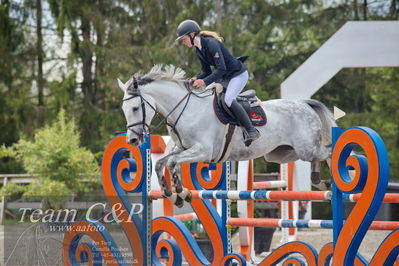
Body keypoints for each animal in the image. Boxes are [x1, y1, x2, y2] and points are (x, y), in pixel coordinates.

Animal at [118, 65, 334, 207]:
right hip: (281, 154)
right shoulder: (183, 148)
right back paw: (319, 181)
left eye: (135, 108)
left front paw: (179, 192)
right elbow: (163, 163)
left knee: (328, 152)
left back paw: (329, 182)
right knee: (316, 158)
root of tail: (304, 104)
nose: (132, 140)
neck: (187, 109)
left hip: (306, 148)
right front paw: (175, 194)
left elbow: (171, 162)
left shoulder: (203, 151)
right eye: (124, 109)